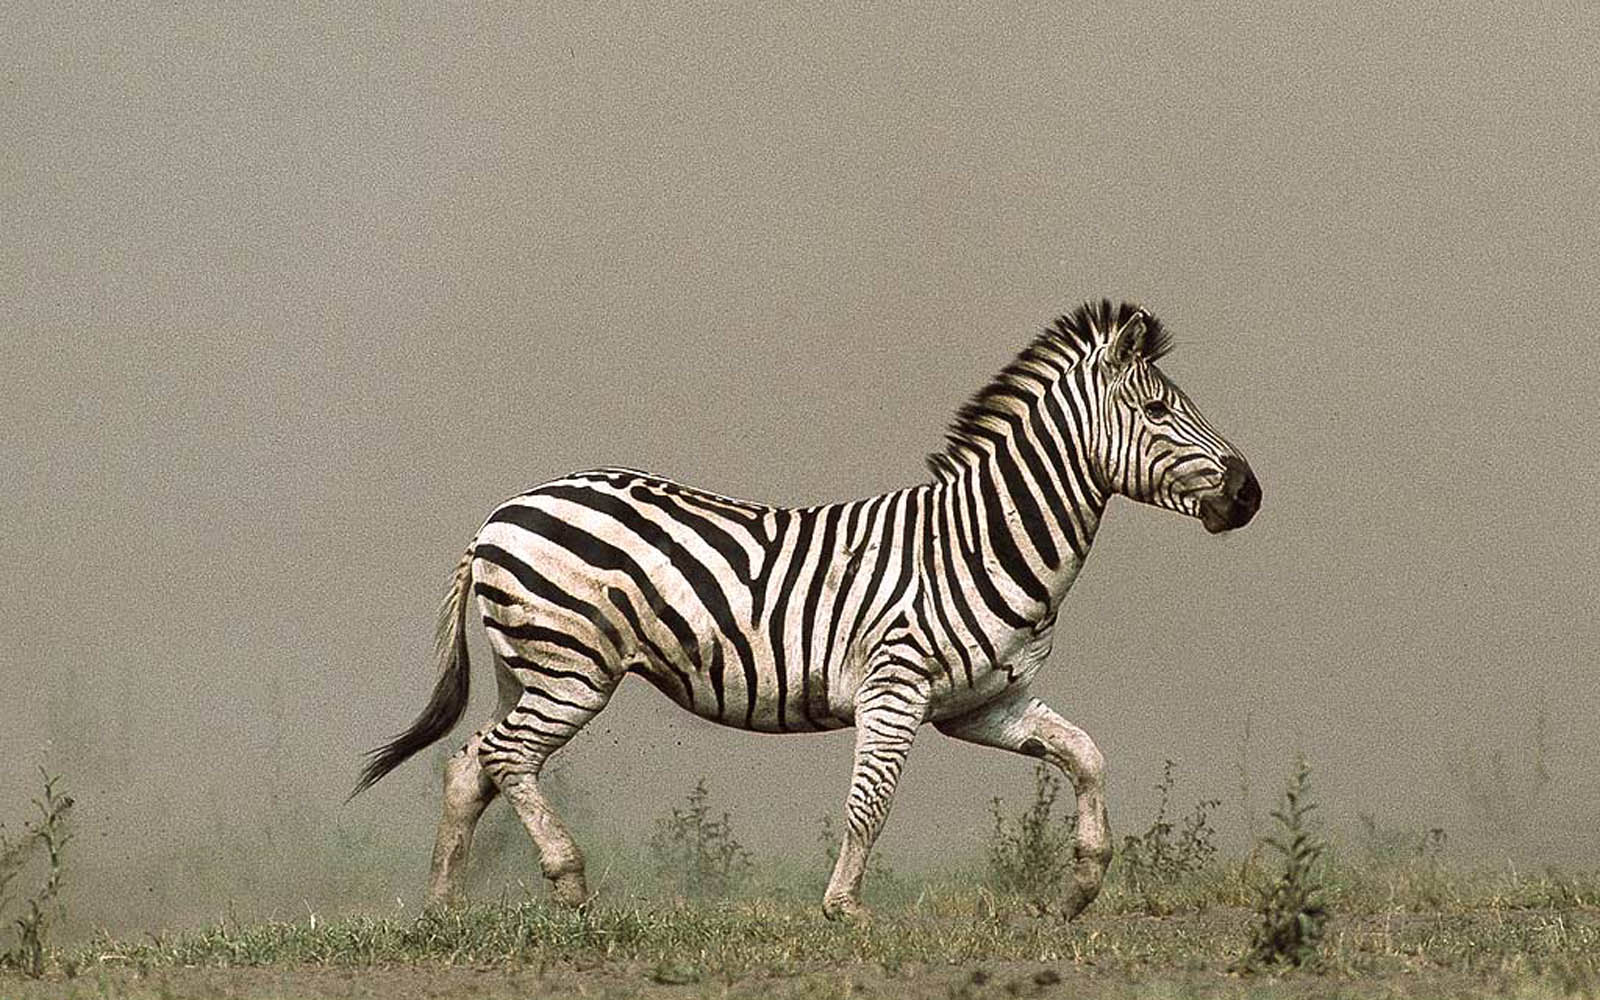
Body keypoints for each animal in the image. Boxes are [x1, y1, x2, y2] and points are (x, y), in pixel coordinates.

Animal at [353, 297, 1260, 921]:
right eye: (1157, 411)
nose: (1251, 494)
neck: (982, 537)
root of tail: (498, 515)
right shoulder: (897, 686)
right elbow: (870, 804)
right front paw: (844, 909)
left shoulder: (983, 703)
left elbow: (1086, 755)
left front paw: (1079, 888)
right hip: (570, 667)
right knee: (506, 758)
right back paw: (569, 885)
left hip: (526, 667)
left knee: (470, 764)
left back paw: (442, 910)